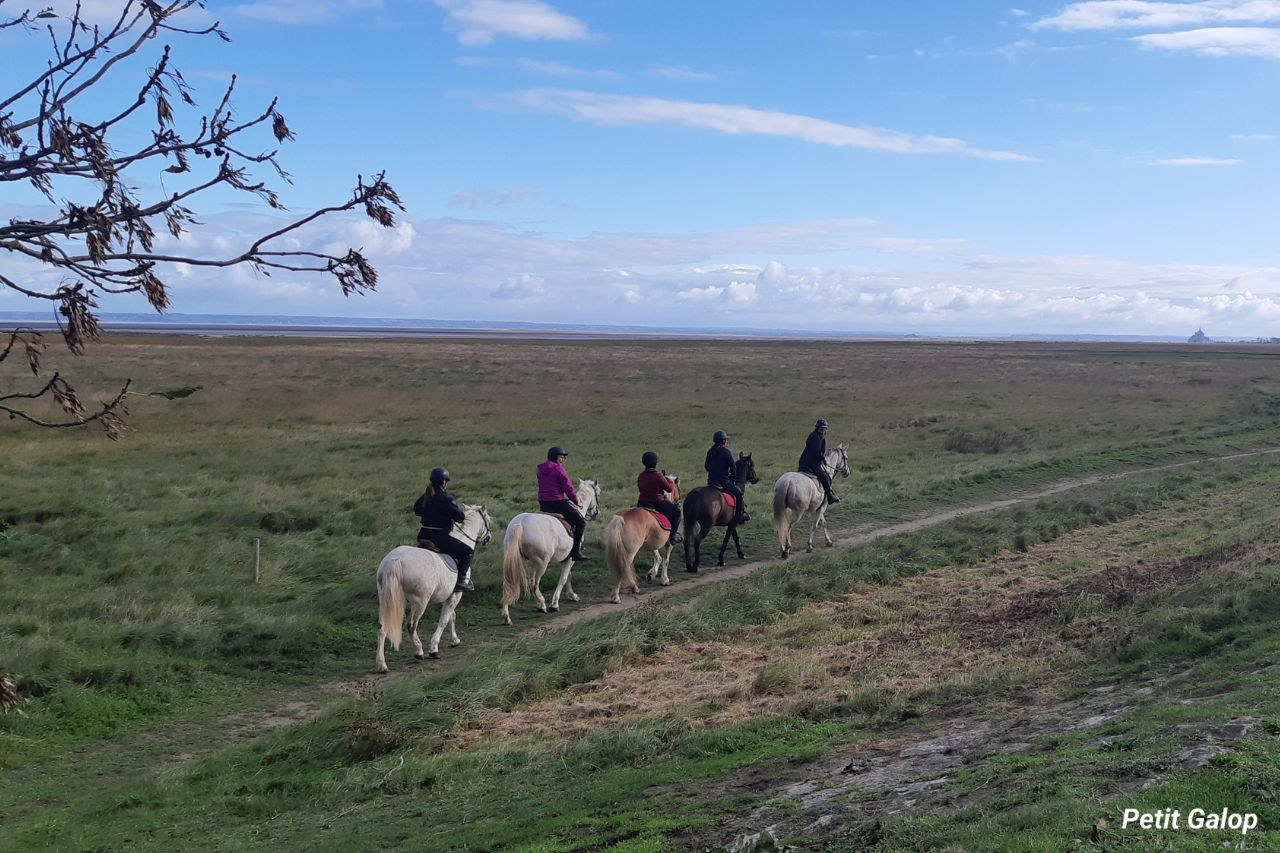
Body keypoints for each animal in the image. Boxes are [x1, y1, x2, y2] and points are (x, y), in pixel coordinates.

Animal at [375, 504, 494, 673]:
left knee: (382, 627)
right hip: (420, 602)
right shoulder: (456, 594)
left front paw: (455, 640)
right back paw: (419, 651)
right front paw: (434, 649)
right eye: (487, 520)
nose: (488, 538)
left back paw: (382, 665)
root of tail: (395, 560)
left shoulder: (450, 595)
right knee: (411, 625)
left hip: (385, 600)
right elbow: (444, 620)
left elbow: (451, 616)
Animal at [499, 479, 602, 625]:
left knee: (508, 584)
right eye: (598, 493)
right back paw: (542, 605)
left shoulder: (565, 558)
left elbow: (568, 576)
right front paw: (555, 604)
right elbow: (564, 578)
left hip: (515, 561)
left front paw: (572, 595)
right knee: (534, 584)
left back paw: (506, 616)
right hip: (542, 563)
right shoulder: (571, 558)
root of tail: (520, 524)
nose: (596, 513)